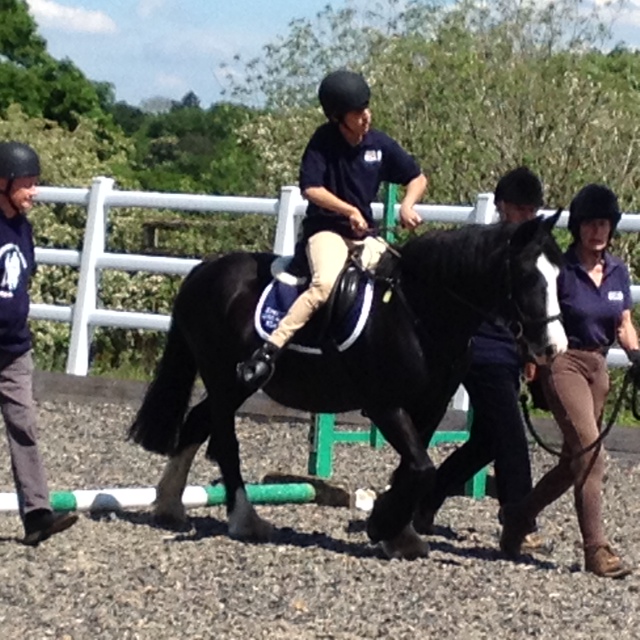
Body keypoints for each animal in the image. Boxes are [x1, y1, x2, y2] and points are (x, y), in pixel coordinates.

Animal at [129, 212, 564, 556]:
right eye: (528, 276)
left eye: (559, 276)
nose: (553, 346)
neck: (418, 311)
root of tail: (204, 270)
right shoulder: (385, 405)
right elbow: (421, 466)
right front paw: (386, 527)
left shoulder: (430, 405)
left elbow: (413, 467)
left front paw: (397, 532)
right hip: (224, 378)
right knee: (225, 442)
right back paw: (244, 520)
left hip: (235, 385)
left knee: (197, 423)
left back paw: (169, 506)